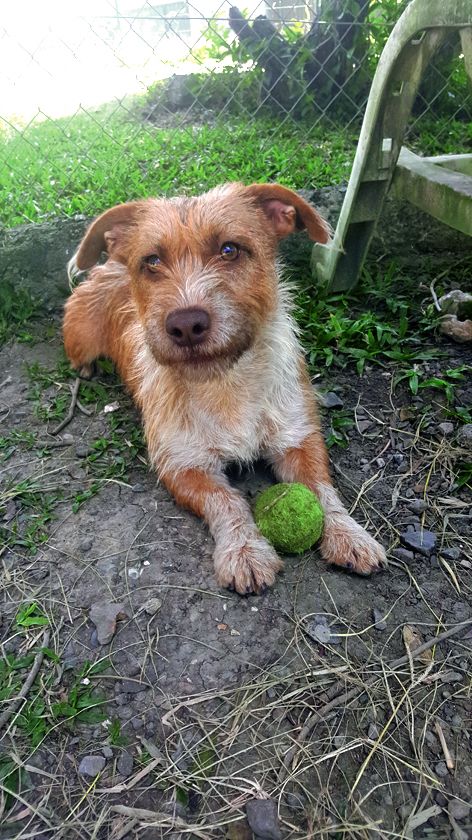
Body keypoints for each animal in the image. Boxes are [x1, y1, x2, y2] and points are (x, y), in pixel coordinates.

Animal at [63, 181, 388, 592]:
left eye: (229, 249)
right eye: (152, 261)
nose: (186, 324)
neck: (224, 381)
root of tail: (109, 263)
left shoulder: (298, 436)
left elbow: (321, 487)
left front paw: (349, 534)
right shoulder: (183, 465)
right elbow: (227, 499)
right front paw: (245, 550)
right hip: (78, 336)